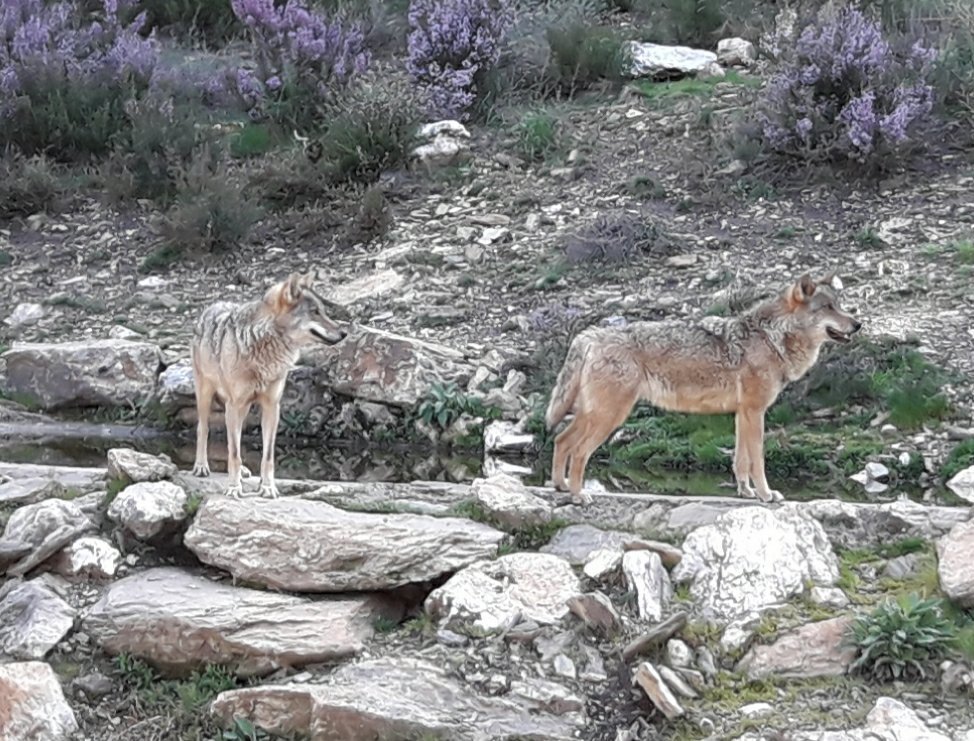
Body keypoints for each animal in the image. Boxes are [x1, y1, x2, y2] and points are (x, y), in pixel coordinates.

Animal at [191, 272, 346, 498]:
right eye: (315, 312)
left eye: (323, 311)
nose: (344, 333)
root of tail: (213, 305)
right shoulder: (234, 404)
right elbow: (234, 453)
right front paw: (234, 488)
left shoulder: (272, 407)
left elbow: (267, 455)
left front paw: (267, 487)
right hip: (207, 397)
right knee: (203, 430)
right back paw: (201, 466)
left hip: (243, 410)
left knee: (237, 438)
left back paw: (244, 472)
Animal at [544, 274, 864, 506]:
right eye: (828, 308)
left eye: (839, 305)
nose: (858, 324)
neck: (772, 338)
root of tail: (589, 335)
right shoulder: (755, 412)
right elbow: (758, 461)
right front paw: (766, 495)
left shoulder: (742, 414)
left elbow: (741, 461)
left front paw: (746, 493)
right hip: (609, 417)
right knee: (579, 451)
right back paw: (577, 495)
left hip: (594, 415)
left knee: (561, 439)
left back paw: (560, 486)